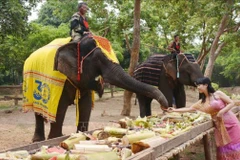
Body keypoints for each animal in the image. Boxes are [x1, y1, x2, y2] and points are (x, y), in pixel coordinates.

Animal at [22, 34, 169, 141]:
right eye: (98, 60)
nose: (165, 107)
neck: (76, 43)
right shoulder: (59, 80)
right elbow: (59, 108)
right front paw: (56, 139)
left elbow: (86, 106)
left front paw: (82, 135)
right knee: (38, 111)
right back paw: (38, 141)